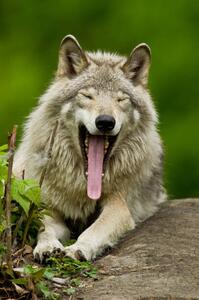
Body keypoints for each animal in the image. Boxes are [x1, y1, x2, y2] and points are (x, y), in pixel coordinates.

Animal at [14, 34, 166, 260]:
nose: (105, 122)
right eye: (87, 96)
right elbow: (45, 226)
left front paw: (78, 249)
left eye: (120, 99)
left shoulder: (119, 206)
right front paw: (48, 247)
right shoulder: (48, 206)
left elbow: (94, 230)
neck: (84, 186)